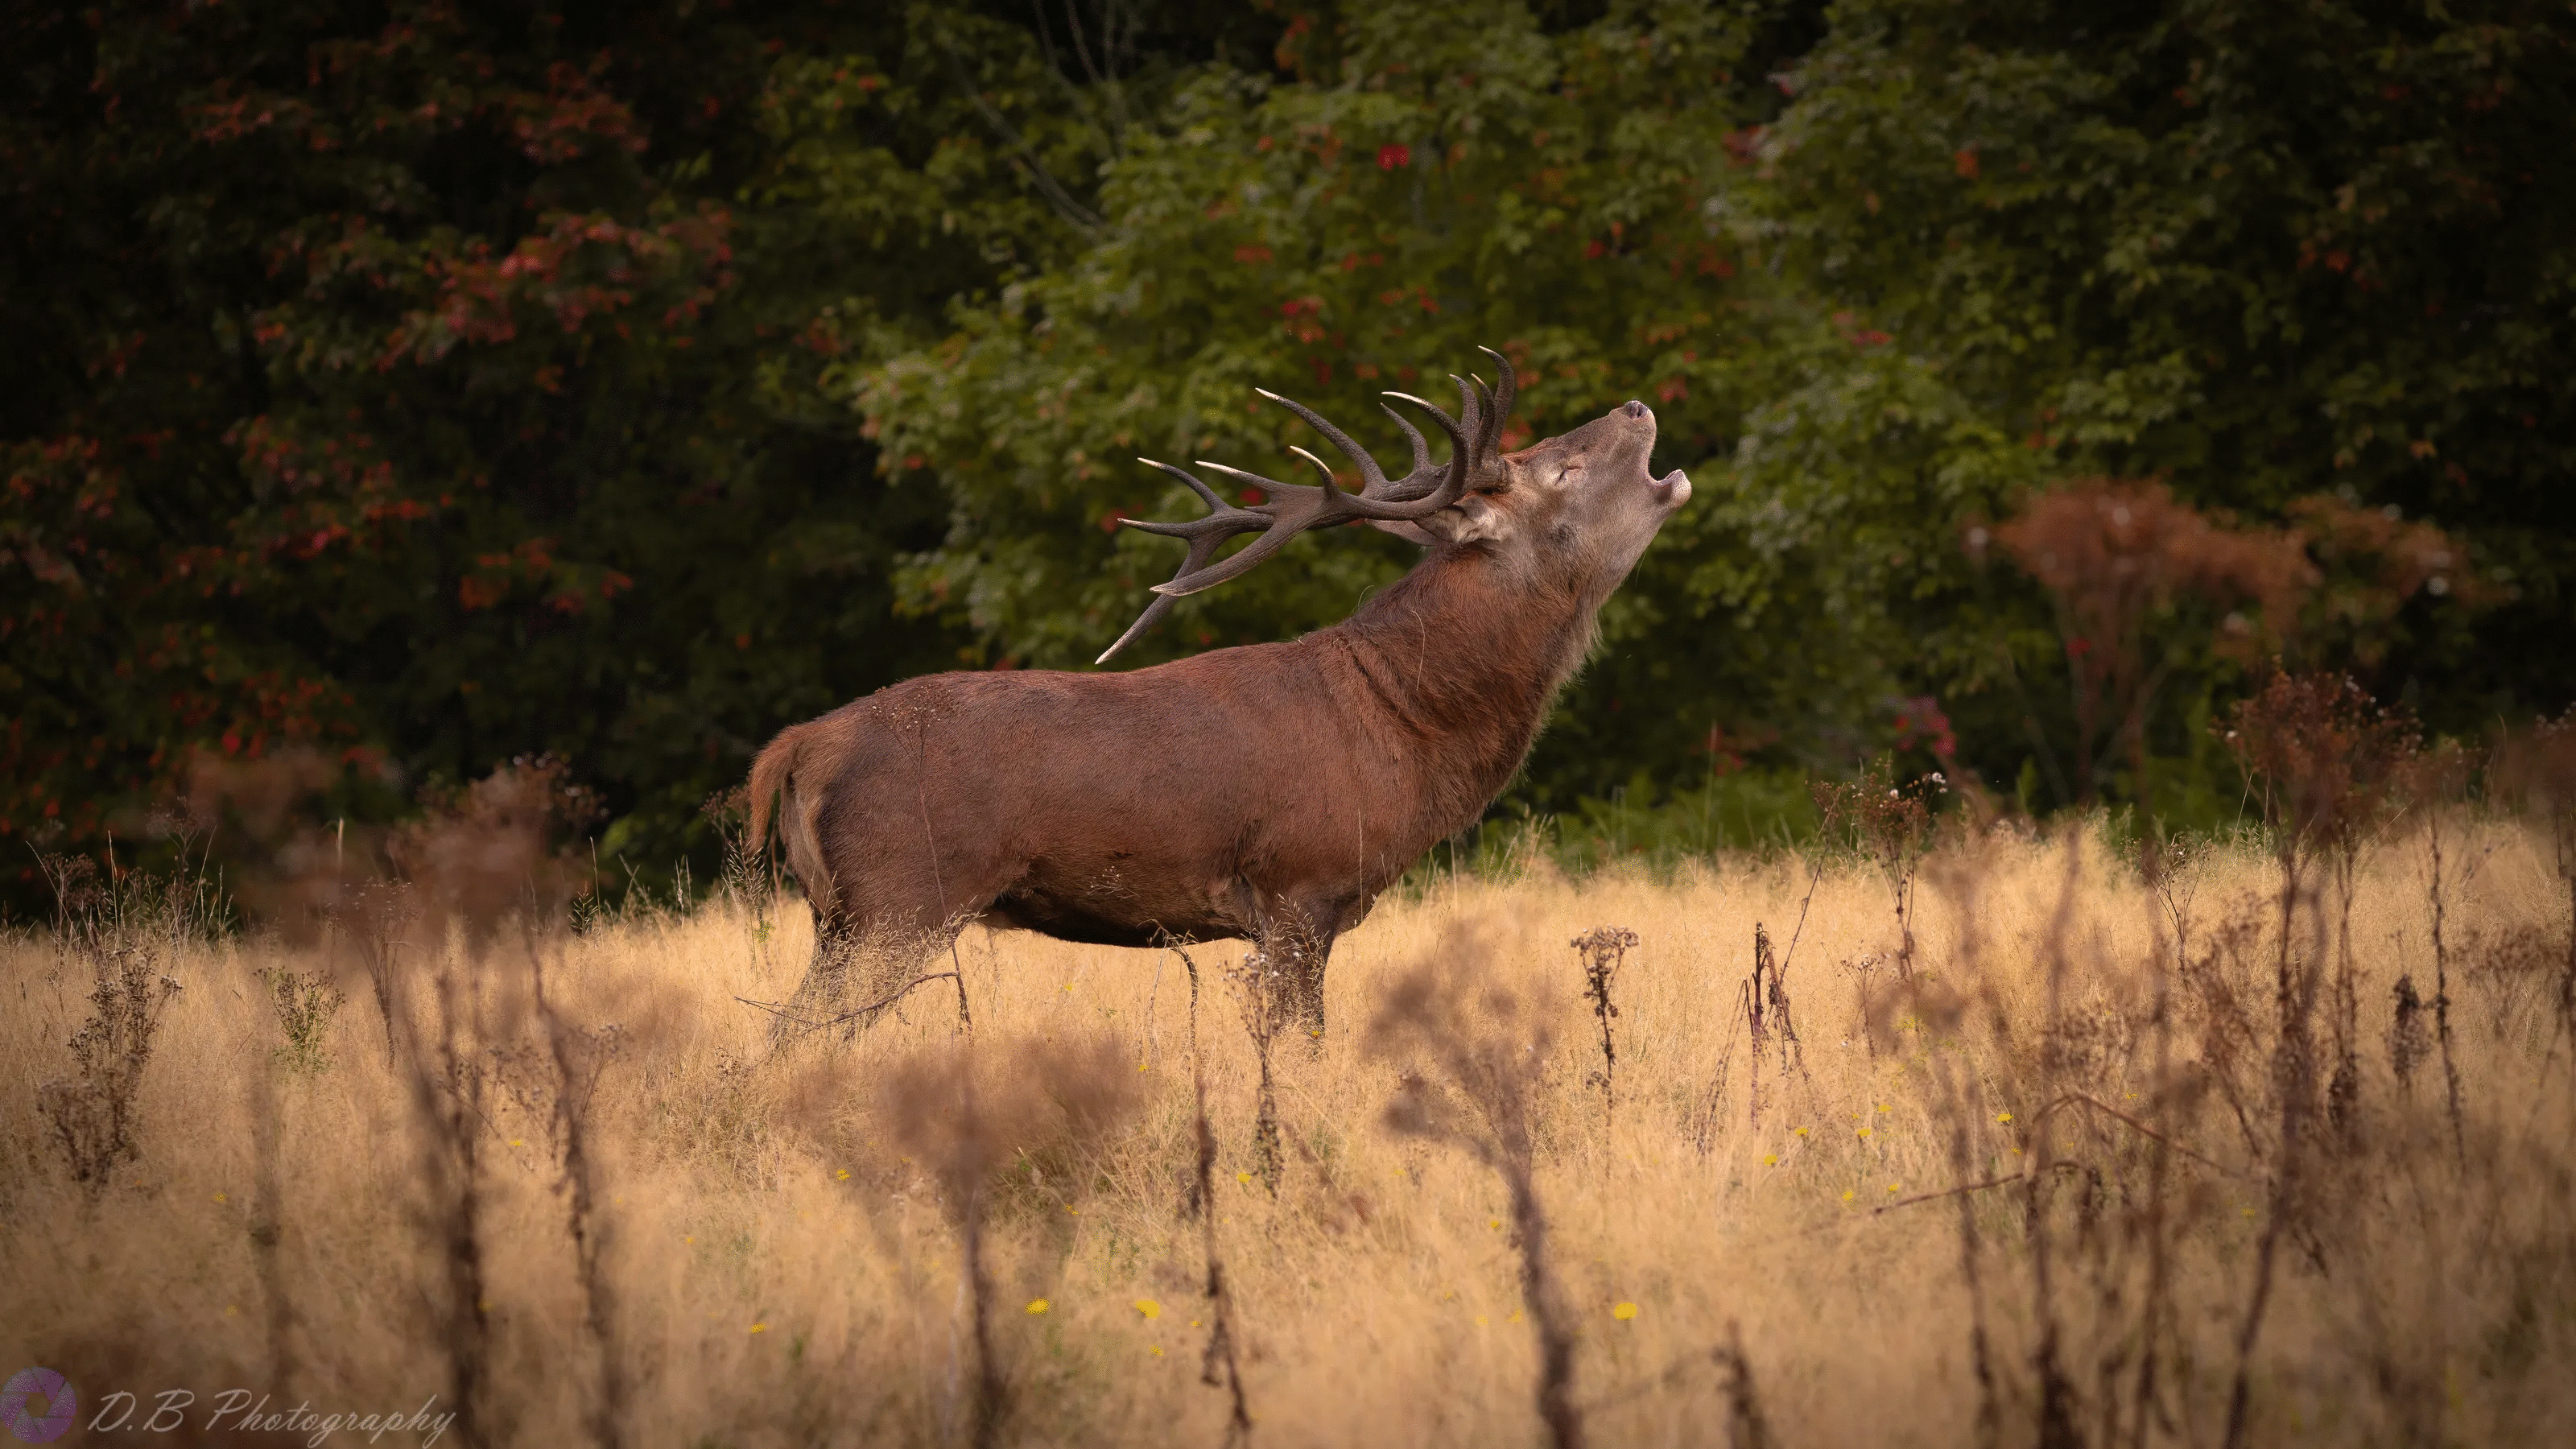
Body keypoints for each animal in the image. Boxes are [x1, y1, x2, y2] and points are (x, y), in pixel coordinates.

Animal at [746, 348, 1690, 1036]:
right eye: (1556, 471)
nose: (1636, 408)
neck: (1407, 726)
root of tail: (794, 750)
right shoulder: (1299, 887)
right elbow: (1298, 1046)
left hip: (839, 916)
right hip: (900, 896)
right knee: (800, 1031)